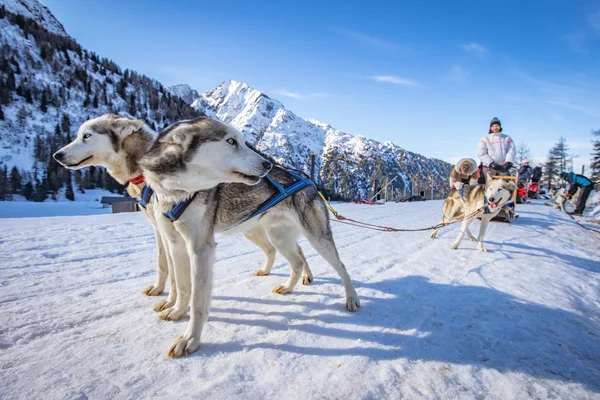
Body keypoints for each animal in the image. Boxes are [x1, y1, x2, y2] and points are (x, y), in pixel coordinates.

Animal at [53, 114, 312, 320]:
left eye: (86, 136)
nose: (57, 155)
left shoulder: (169, 232)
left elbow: (171, 270)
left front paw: (170, 302)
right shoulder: (162, 230)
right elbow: (166, 265)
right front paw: (164, 295)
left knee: (294, 251)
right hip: (255, 230)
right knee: (290, 250)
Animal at [138, 115, 358, 356]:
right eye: (230, 141)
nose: (268, 165)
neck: (179, 193)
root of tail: (306, 179)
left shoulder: (201, 249)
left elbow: (197, 301)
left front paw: (190, 339)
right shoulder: (175, 244)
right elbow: (183, 286)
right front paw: (177, 311)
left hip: (318, 238)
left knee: (341, 267)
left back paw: (352, 299)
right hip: (279, 238)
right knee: (298, 261)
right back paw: (288, 287)